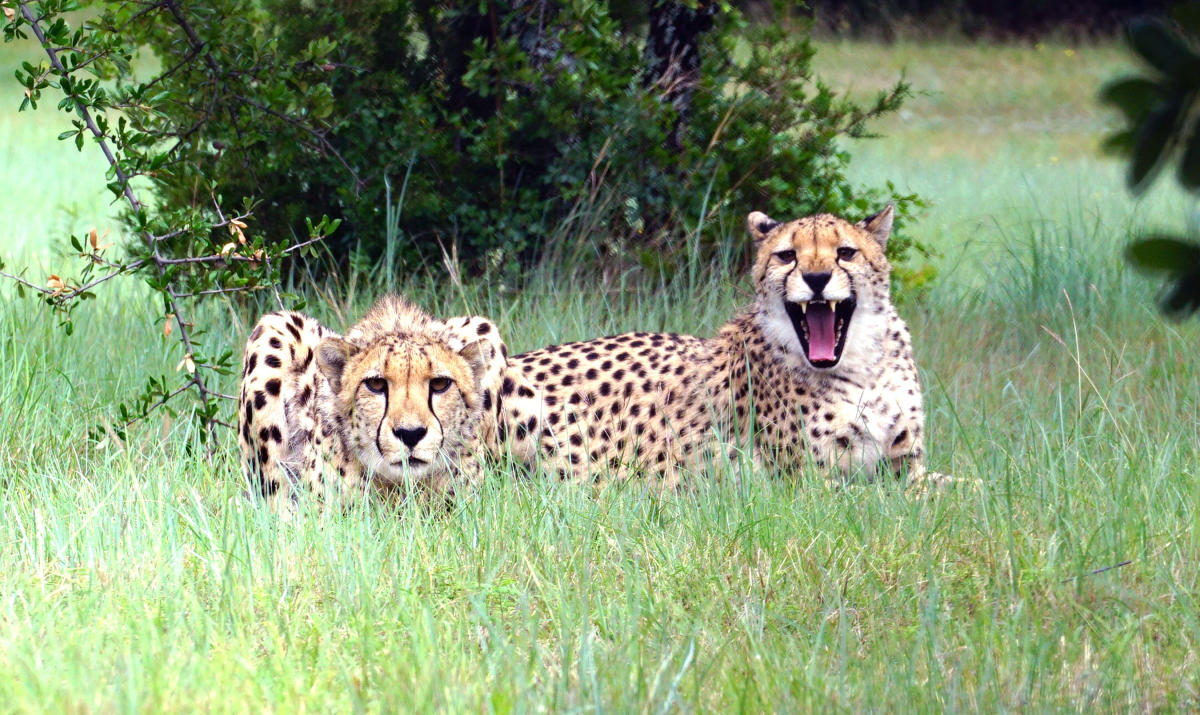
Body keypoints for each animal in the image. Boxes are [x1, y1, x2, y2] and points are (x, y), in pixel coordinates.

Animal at [501, 206, 931, 487]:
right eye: (787, 256)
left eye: (845, 252)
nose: (817, 278)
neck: (863, 365)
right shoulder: (812, 481)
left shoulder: (907, 466)